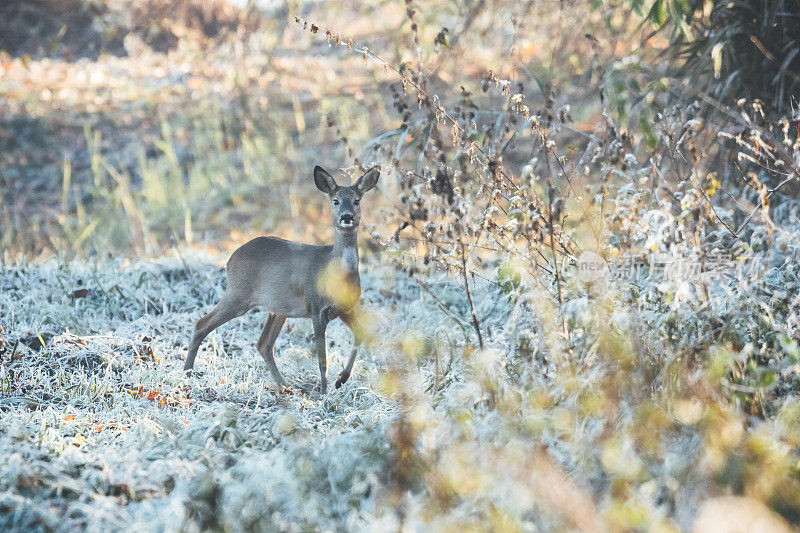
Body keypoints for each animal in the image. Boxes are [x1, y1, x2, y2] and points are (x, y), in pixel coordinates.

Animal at [186, 164, 380, 392]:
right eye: (336, 200)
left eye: (357, 200)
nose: (347, 216)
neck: (337, 273)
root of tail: (230, 259)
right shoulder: (316, 308)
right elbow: (322, 360)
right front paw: (324, 392)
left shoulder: (344, 308)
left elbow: (360, 335)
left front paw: (341, 379)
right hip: (239, 293)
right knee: (201, 324)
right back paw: (187, 373)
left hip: (278, 308)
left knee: (263, 344)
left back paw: (285, 386)